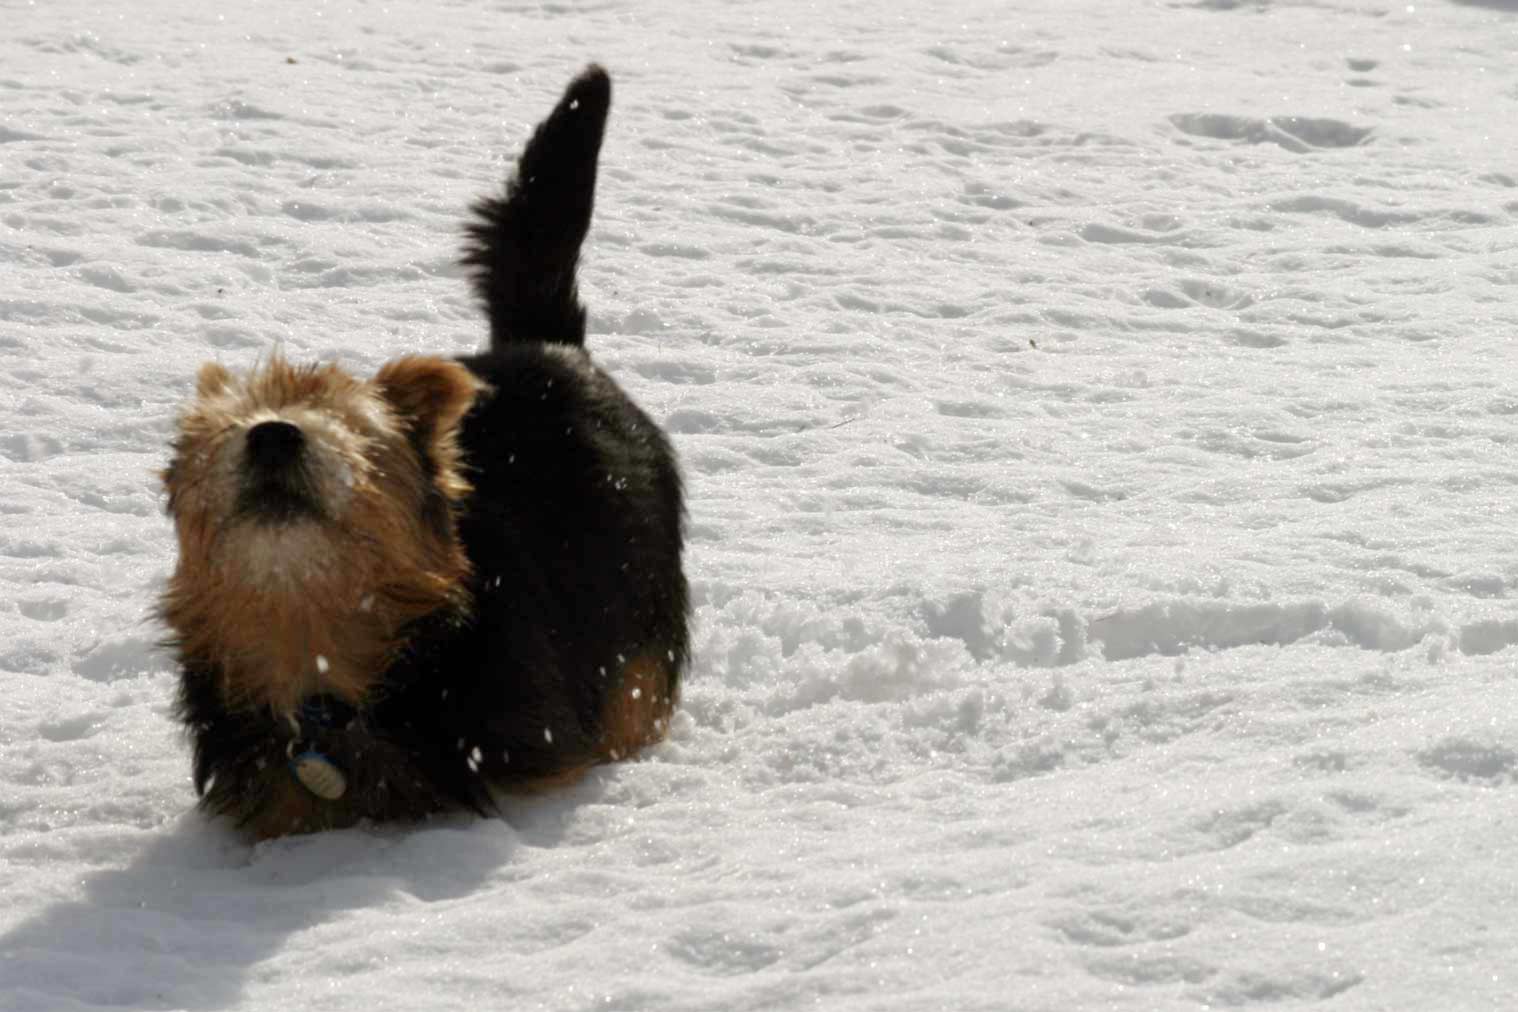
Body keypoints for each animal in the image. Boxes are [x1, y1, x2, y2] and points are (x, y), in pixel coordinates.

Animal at [157, 65, 692, 837]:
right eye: (231, 426)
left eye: (352, 424)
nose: (273, 434)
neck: (322, 673)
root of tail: (547, 345)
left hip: (636, 639)